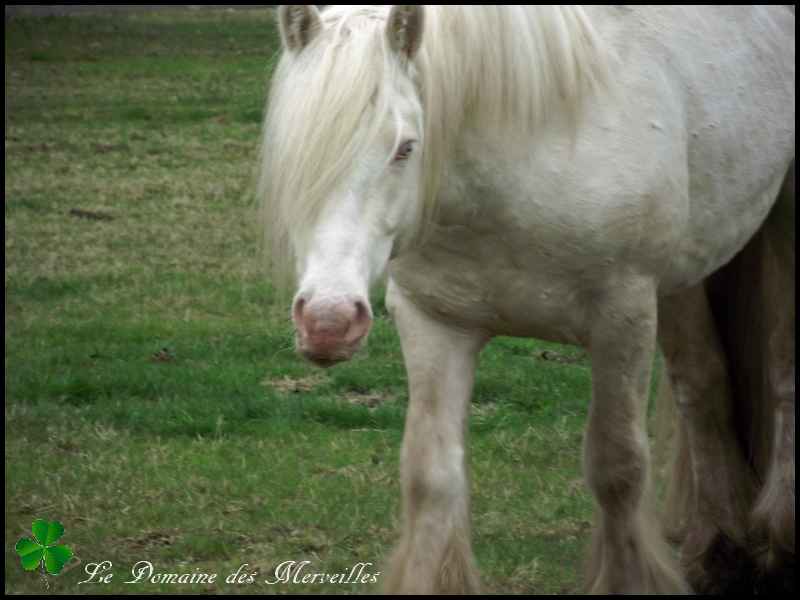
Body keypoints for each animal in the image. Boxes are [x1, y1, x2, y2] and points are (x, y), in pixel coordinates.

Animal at [260, 5, 796, 596]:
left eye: (406, 147)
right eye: (291, 149)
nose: (328, 322)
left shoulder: (623, 316)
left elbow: (618, 468)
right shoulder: (433, 322)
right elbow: (430, 475)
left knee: (781, 371)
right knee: (702, 385)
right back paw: (721, 548)